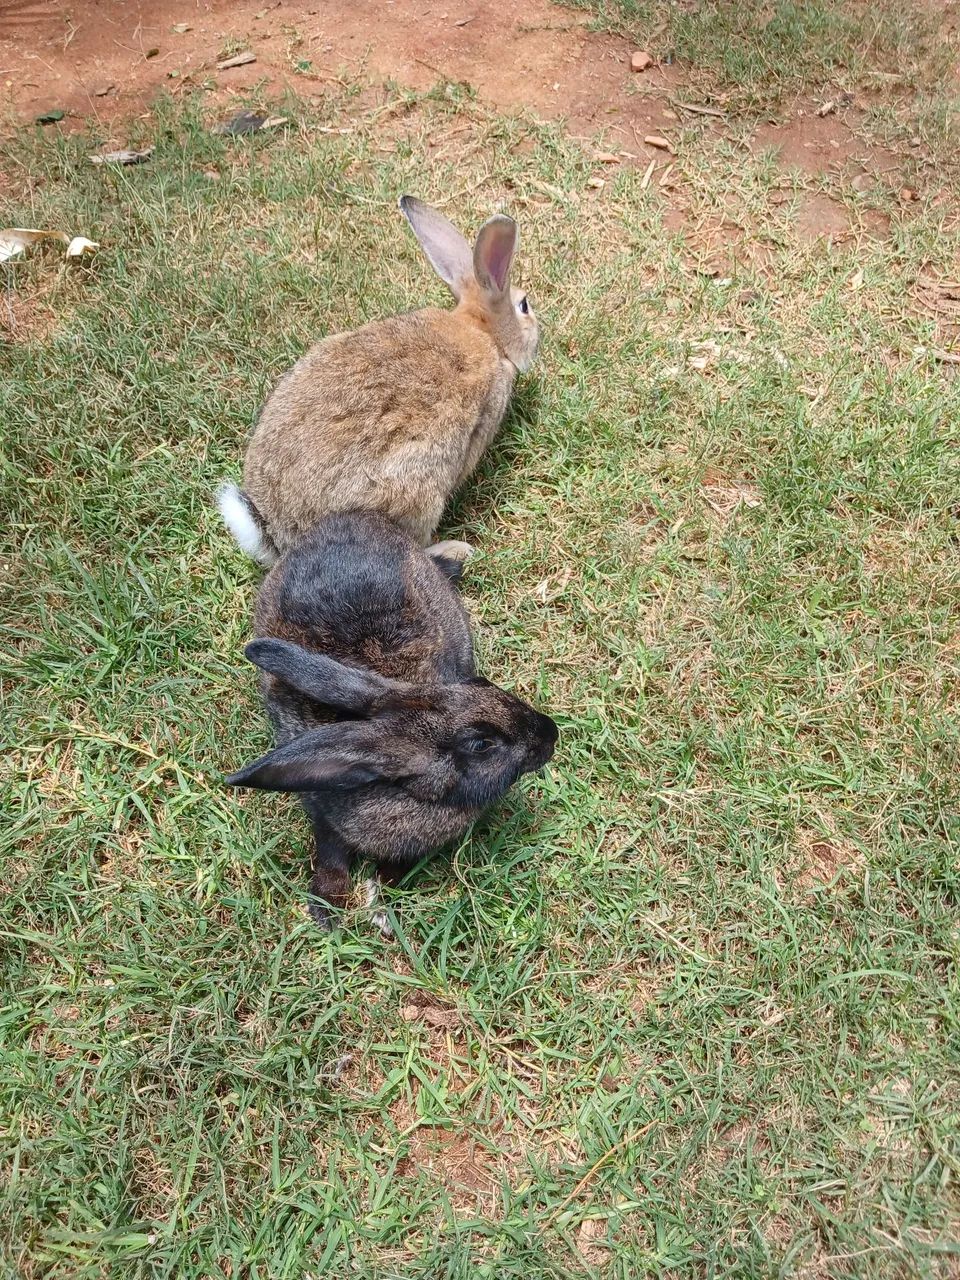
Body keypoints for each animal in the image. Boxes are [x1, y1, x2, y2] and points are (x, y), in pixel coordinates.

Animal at [217, 195, 540, 569]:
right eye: (524, 305)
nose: (539, 333)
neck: (484, 332)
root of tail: (280, 536)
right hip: (416, 490)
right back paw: (455, 549)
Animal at [225, 508, 558, 932]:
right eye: (482, 744)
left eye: (480, 683)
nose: (550, 733)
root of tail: (351, 519)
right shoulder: (323, 817)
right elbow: (330, 856)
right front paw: (326, 911)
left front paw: (379, 904)